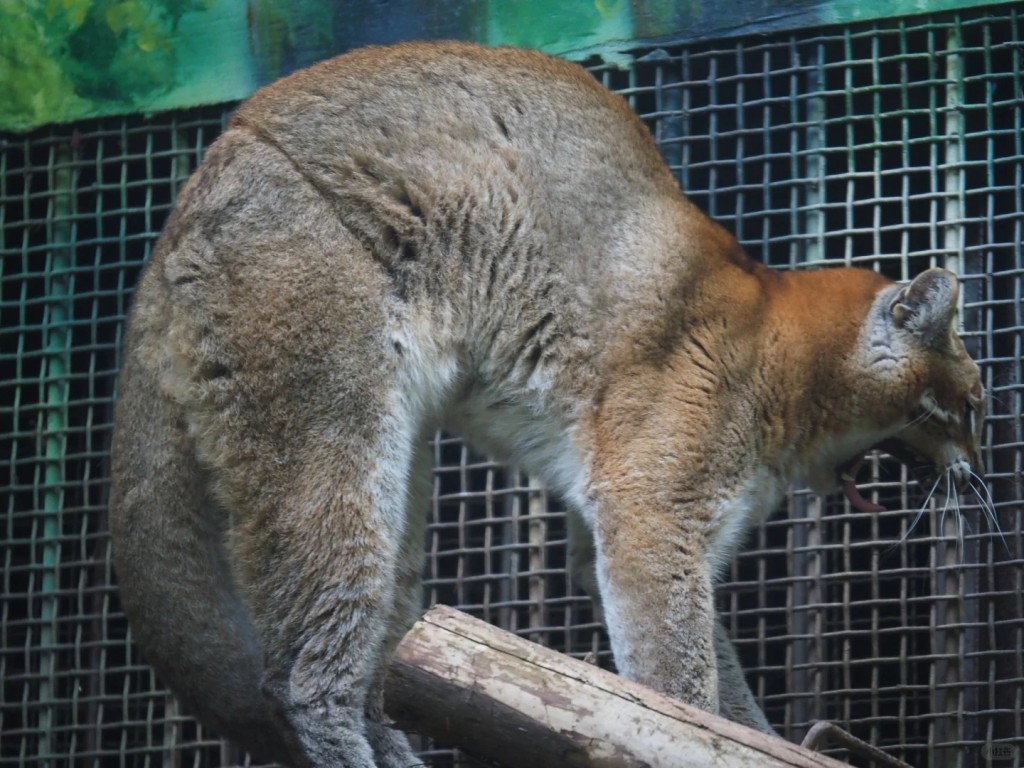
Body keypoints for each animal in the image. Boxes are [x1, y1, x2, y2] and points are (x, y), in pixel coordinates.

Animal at [108, 41, 987, 768]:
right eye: (975, 404)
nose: (980, 468)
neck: (785, 356)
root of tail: (198, 182)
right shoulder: (651, 518)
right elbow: (679, 684)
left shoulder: (624, 525)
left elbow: (721, 681)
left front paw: (768, 739)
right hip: (332, 424)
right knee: (300, 670)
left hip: (402, 478)